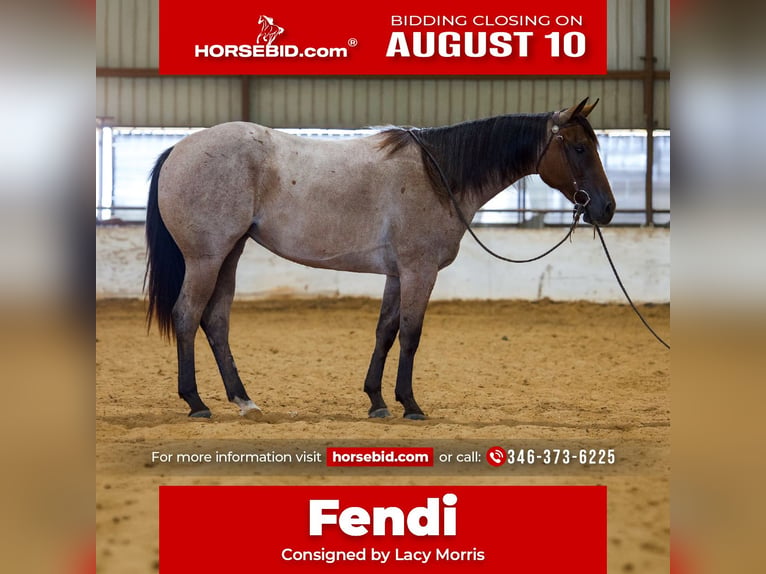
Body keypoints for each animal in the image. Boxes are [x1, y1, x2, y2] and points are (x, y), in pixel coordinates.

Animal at [145, 98, 615, 420]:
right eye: (577, 148)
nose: (606, 209)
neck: (437, 175)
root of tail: (178, 150)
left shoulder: (397, 274)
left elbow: (386, 332)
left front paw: (376, 400)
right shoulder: (419, 271)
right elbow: (411, 334)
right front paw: (410, 404)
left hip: (229, 254)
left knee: (215, 321)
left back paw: (244, 400)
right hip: (206, 258)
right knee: (188, 316)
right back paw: (196, 402)